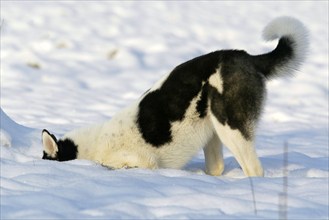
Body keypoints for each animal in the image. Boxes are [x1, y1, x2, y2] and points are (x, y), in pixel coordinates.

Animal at [41, 16, 308, 177]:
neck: (88, 149)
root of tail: (247, 56)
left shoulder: (142, 161)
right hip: (212, 129)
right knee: (218, 166)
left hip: (230, 127)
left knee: (254, 169)